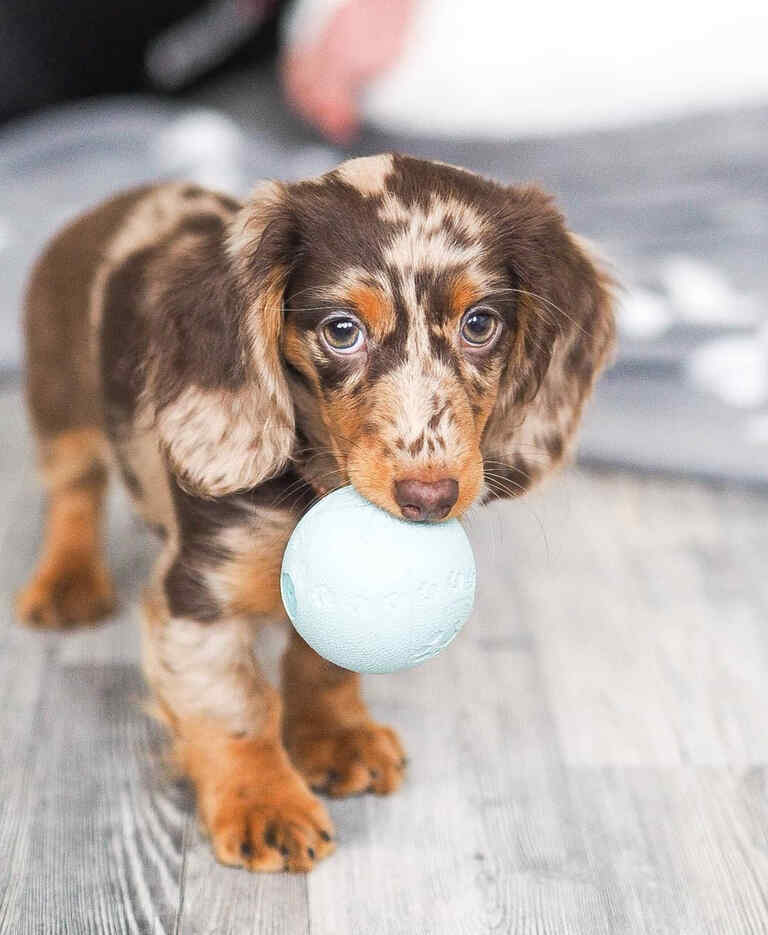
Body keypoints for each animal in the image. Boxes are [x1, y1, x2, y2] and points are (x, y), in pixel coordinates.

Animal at [18, 152, 616, 872]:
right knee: (72, 493)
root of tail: (108, 206)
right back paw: (67, 581)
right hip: (62, 404)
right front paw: (264, 802)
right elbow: (234, 704)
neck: (317, 482)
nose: (429, 498)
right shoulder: (198, 592)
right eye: (341, 331)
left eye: (480, 324)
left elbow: (323, 663)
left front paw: (335, 736)